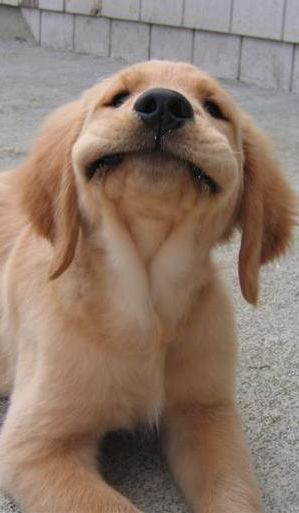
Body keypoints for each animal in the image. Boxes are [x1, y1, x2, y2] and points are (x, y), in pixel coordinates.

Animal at [0, 61, 296, 512]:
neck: (145, 304)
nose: (164, 105)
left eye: (214, 107)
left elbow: (235, 494)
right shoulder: (35, 447)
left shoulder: (207, 412)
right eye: (118, 97)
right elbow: (113, 507)